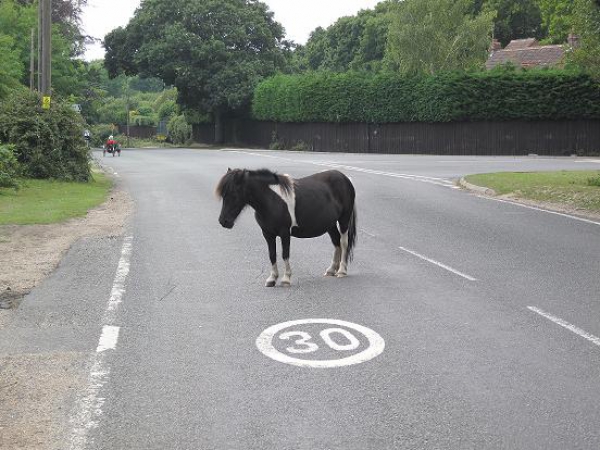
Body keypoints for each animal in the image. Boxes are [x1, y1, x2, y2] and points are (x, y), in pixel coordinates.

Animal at [216, 167, 356, 286]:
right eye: (223, 195)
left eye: (234, 194)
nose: (223, 221)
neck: (271, 199)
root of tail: (345, 178)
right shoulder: (267, 234)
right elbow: (272, 254)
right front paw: (272, 279)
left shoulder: (285, 233)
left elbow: (285, 253)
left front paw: (286, 278)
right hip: (330, 224)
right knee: (336, 241)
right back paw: (332, 269)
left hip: (344, 220)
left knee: (343, 242)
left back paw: (341, 271)